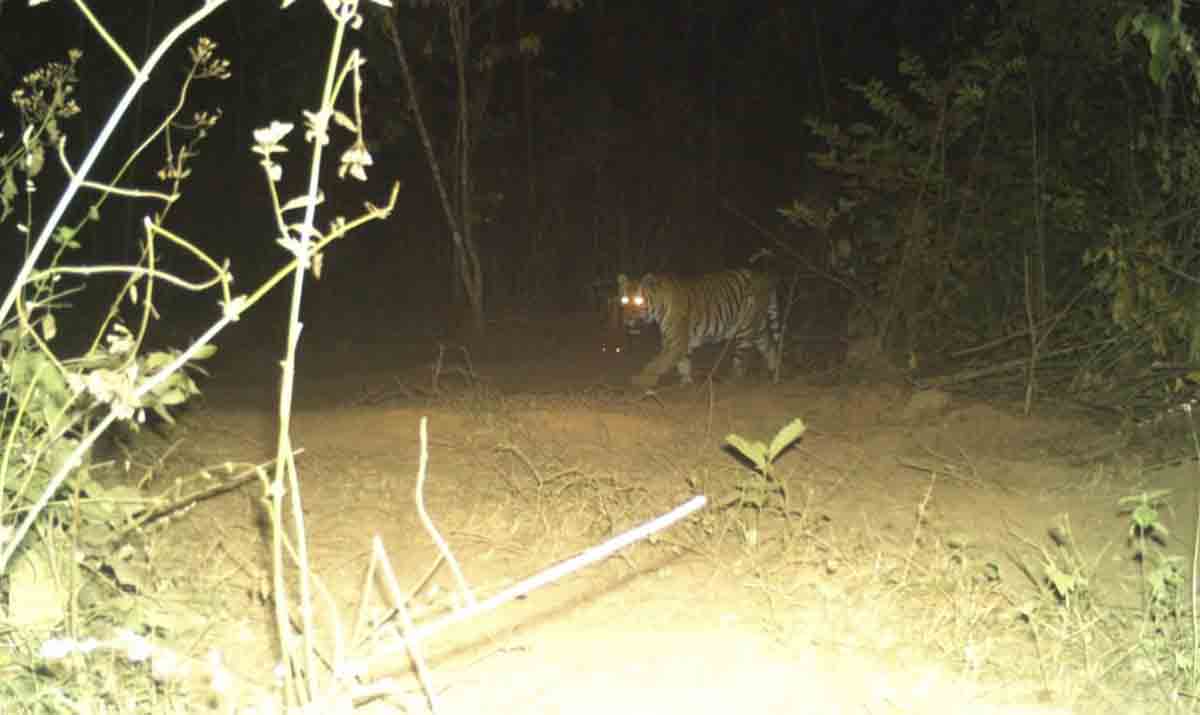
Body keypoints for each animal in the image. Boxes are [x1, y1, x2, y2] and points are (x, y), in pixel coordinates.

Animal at [616, 269, 781, 387]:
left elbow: (657, 363)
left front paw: (642, 380)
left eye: (639, 301)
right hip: (758, 328)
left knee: (741, 361)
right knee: (770, 346)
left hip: (746, 329)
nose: (627, 319)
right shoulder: (678, 342)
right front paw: (686, 383)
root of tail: (764, 278)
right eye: (624, 300)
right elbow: (683, 363)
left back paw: (732, 382)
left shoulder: (676, 342)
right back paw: (774, 376)